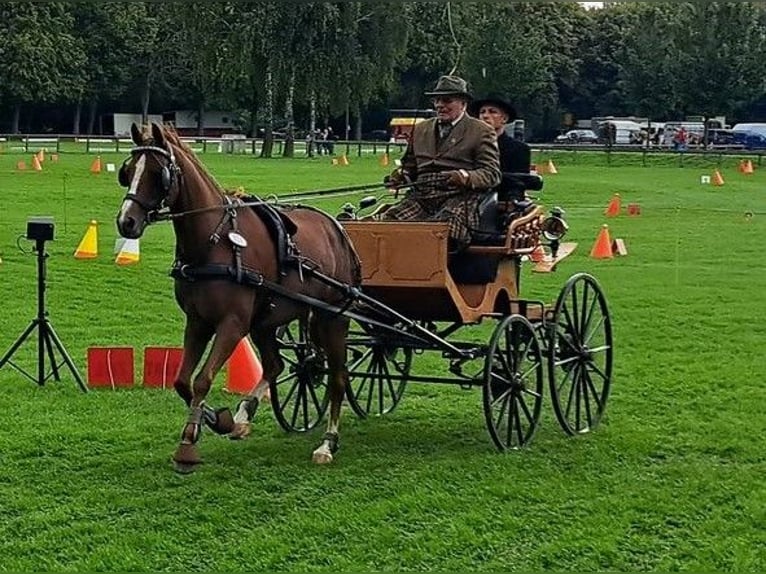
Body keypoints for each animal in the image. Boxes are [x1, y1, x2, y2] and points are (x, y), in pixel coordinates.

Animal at [115, 124, 362, 474]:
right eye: (128, 171)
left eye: (156, 172)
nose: (126, 221)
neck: (214, 242)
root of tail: (337, 228)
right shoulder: (198, 322)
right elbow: (182, 381)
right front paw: (218, 419)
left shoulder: (232, 324)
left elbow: (202, 379)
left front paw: (188, 444)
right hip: (269, 321)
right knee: (275, 365)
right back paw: (245, 415)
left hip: (333, 319)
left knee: (339, 378)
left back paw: (327, 443)